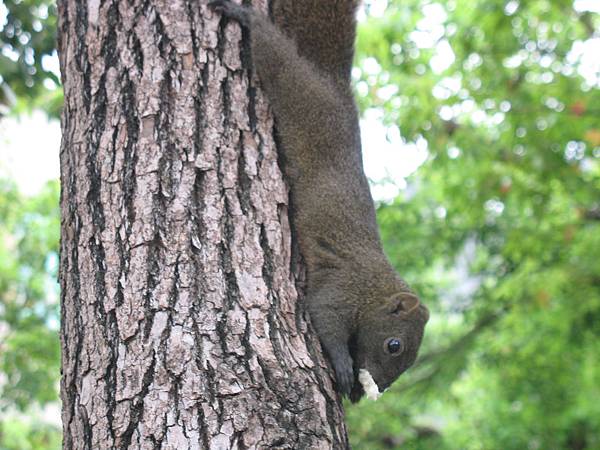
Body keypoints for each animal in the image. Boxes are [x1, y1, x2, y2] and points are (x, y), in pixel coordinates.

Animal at [209, 0, 428, 400]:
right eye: (394, 345)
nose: (378, 389)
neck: (374, 289)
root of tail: (335, 85)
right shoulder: (342, 288)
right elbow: (323, 318)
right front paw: (342, 367)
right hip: (300, 89)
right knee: (279, 60)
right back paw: (247, 18)